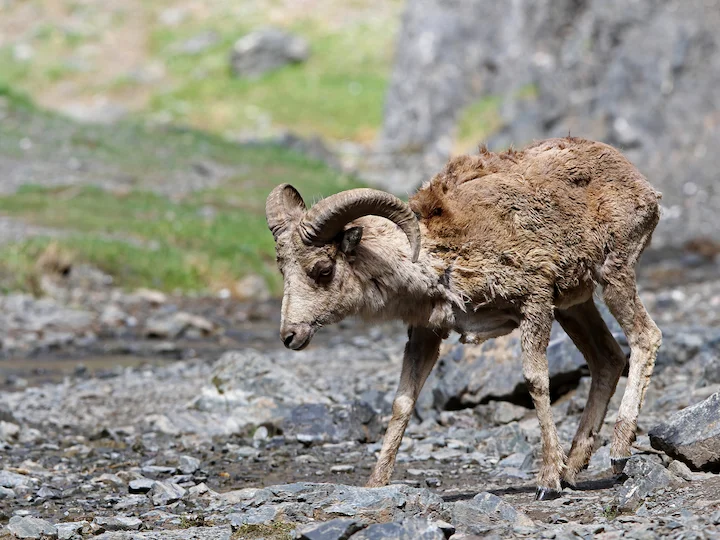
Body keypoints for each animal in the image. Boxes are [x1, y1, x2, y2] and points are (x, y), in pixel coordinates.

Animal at [265, 136, 662, 501]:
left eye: (322, 269)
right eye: (283, 270)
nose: (289, 336)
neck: (439, 260)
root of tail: (643, 187)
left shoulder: (535, 302)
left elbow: (536, 382)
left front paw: (547, 480)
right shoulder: (426, 334)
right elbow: (403, 402)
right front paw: (375, 485)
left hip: (613, 276)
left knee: (646, 336)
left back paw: (617, 452)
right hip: (574, 306)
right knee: (607, 359)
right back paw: (576, 466)